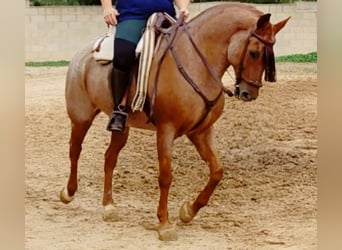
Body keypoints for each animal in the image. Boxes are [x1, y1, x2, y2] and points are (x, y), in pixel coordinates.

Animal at [58, 1, 288, 240]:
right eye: (254, 53)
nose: (248, 93)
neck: (196, 62)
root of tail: (81, 55)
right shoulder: (166, 131)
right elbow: (166, 176)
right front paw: (164, 224)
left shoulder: (201, 132)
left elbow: (217, 171)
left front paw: (188, 212)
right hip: (81, 117)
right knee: (75, 150)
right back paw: (69, 192)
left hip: (122, 129)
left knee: (109, 158)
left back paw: (109, 206)